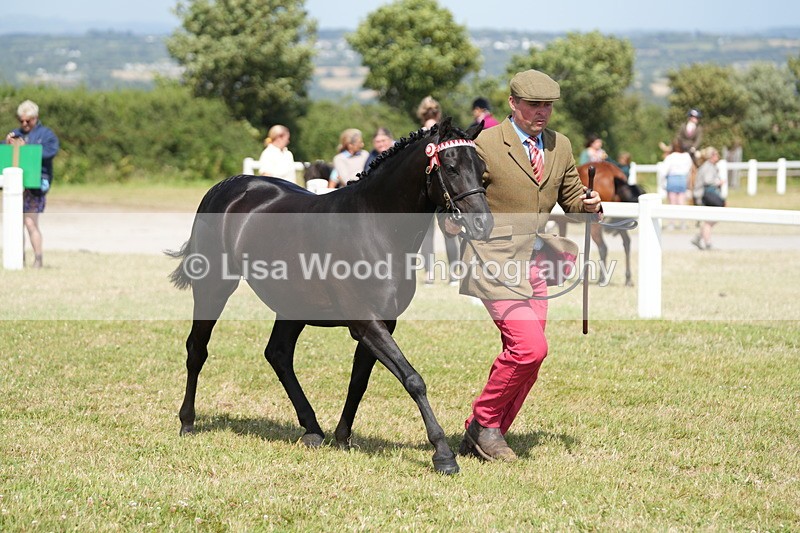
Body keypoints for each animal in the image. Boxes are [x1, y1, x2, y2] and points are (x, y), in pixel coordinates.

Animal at [167, 117, 492, 475]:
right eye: (451, 167)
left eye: (482, 169)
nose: (483, 223)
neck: (374, 227)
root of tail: (226, 187)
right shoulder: (366, 322)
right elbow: (413, 379)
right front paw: (443, 454)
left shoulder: (383, 322)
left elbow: (359, 381)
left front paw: (343, 437)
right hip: (213, 287)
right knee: (197, 349)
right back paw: (187, 422)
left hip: (292, 305)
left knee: (278, 354)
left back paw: (311, 429)